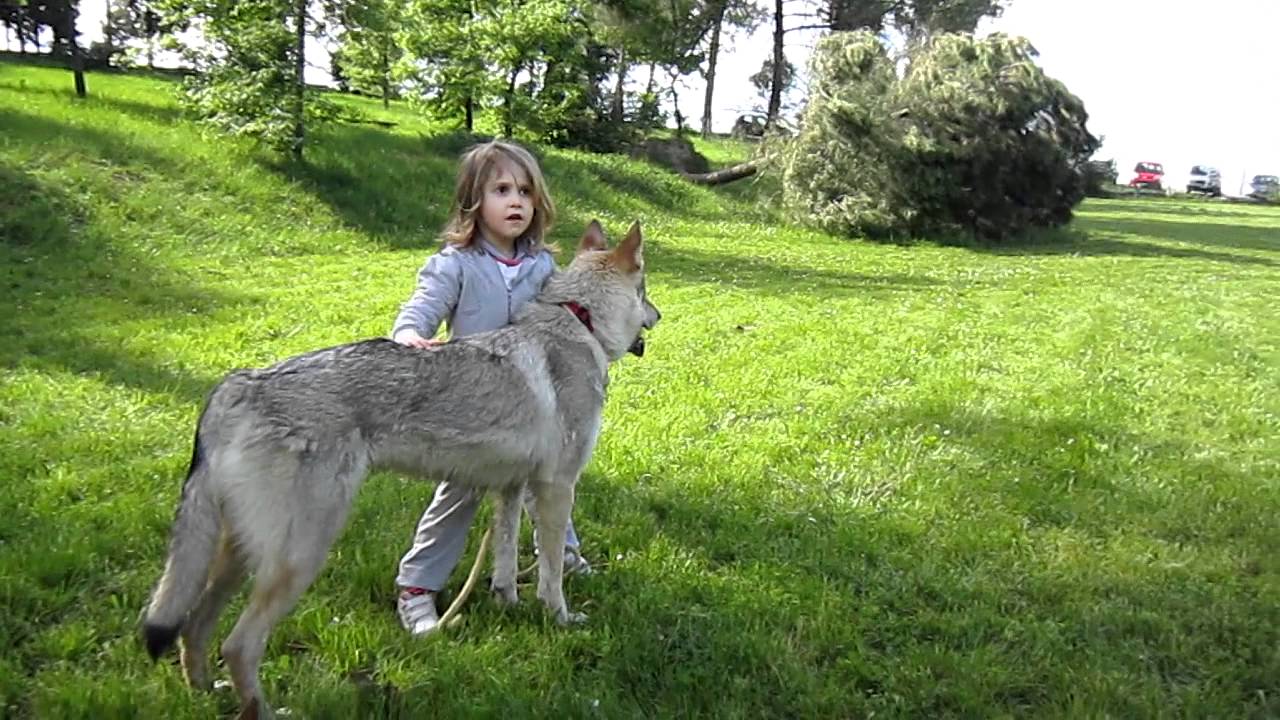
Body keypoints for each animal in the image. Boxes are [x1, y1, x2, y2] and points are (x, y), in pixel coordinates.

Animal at [141, 220, 660, 719]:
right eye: (646, 292)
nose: (659, 316)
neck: (580, 323)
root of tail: (233, 387)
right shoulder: (555, 488)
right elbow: (551, 572)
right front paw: (560, 619)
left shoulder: (511, 490)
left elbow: (507, 563)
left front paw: (508, 606)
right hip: (299, 557)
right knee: (238, 644)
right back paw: (266, 710)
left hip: (241, 557)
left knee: (193, 625)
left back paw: (206, 694)